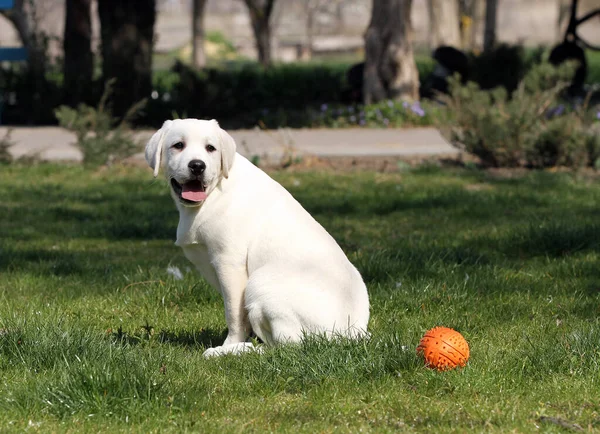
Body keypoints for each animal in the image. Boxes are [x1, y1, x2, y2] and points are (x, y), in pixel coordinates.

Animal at [146, 118, 370, 356]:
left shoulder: (229, 263)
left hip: (261, 283)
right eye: (178, 145)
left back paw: (232, 351)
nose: (197, 166)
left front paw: (229, 344)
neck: (213, 193)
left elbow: (234, 314)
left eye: (211, 148)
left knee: (287, 347)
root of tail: (351, 334)